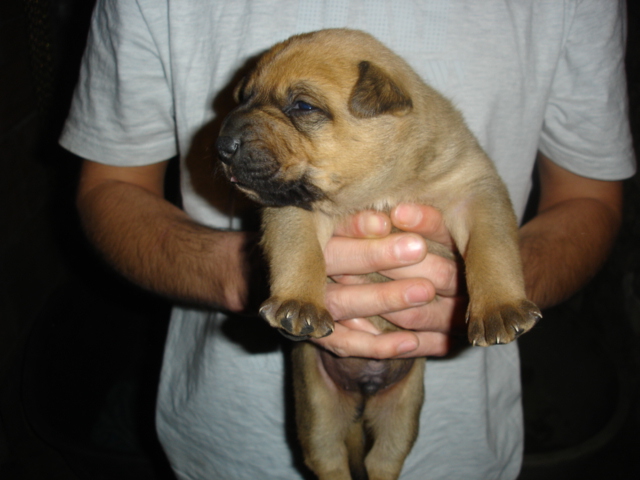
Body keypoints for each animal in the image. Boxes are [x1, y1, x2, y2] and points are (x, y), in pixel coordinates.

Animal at [215, 29, 540, 480]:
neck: (382, 188)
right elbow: (299, 252)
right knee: (330, 460)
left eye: (302, 106)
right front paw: (299, 303)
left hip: (402, 409)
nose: (221, 146)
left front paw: (501, 308)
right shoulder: (291, 205)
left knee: (382, 460)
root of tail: (364, 391)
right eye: (243, 97)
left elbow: (492, 248)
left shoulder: (475, 190)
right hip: (317, 408)